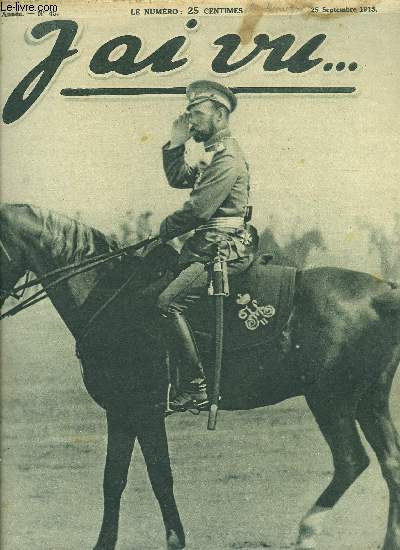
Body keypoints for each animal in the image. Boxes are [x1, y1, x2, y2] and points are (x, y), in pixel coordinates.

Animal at [0, 205, 400, 548]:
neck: (107, 294)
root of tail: (383, 293)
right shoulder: (132, 413)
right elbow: (140, 478)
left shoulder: (135, 411)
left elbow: (138, 478)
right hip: (370, 400)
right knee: (391, 464)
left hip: (330, 400)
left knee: (351, 462)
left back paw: (307, 532)